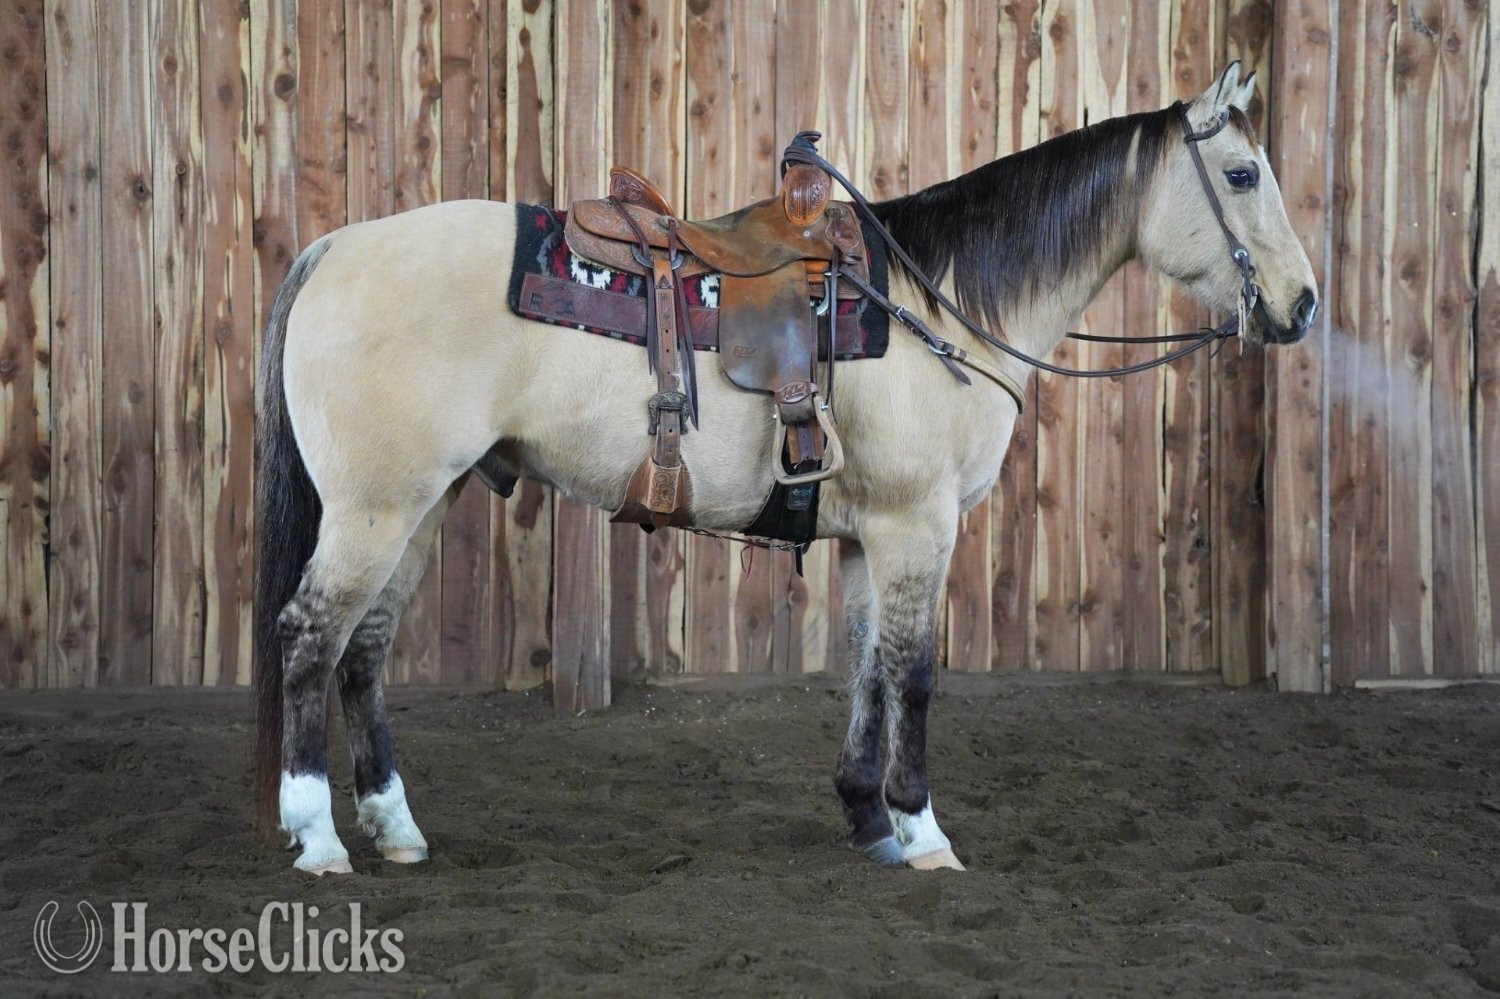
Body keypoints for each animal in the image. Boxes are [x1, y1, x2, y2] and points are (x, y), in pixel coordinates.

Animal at [252, 63, 1317, 875]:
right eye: (1241, 172)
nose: (1303, 304)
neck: (938, 307)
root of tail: (334, 247)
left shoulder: (866, 536)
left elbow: (865, 668)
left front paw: (868, 817)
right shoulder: (917, 525)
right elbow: (913, 676)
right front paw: (922, 829)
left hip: (420, 505)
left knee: (364, 649)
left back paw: (395, 826)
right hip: (375, 509)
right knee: (309, 637)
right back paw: (317, 835)